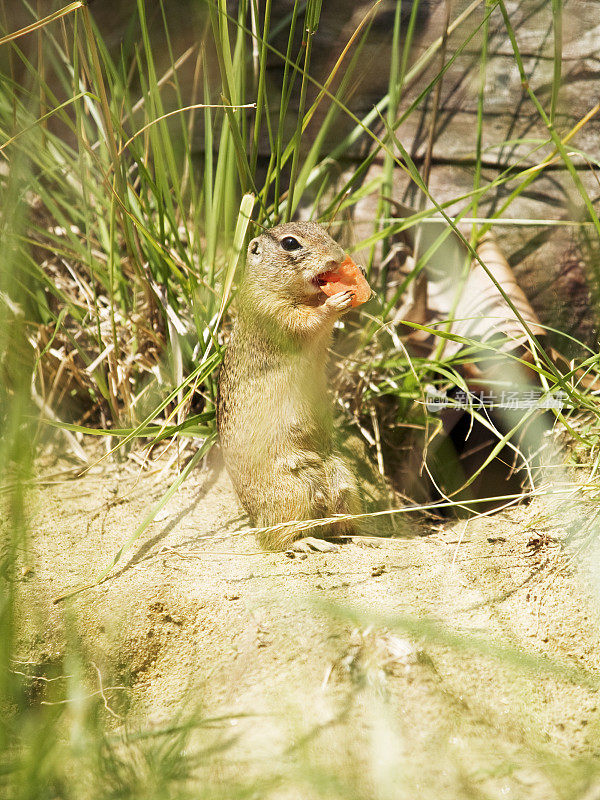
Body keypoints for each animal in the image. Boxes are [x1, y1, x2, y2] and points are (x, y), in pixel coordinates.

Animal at [216, 222, 370, 552]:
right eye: (290, 243)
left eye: (322, 229)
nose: (338, 258)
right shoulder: (275, 314)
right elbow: (307, 321)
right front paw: (335, 301)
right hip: (290, 493)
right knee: (275, 539)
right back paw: (307, 544)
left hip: (345, 481)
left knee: (340, 526)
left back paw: (364, 538)